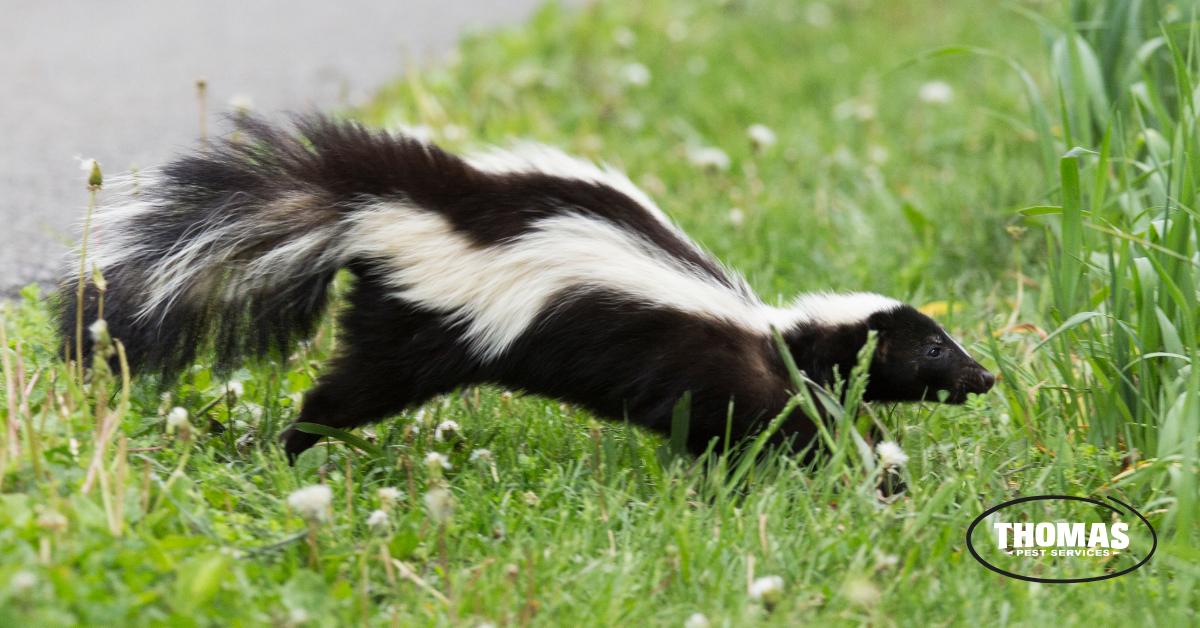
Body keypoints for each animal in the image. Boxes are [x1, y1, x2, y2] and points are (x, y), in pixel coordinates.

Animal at [56, 115, 993, 461]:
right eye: (934, 347)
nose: (987, 376)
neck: (779, 332)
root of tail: (398, 210)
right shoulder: (728, 371)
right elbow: (755, 425)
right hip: (425, 331)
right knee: (345, 392)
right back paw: (295, 447)